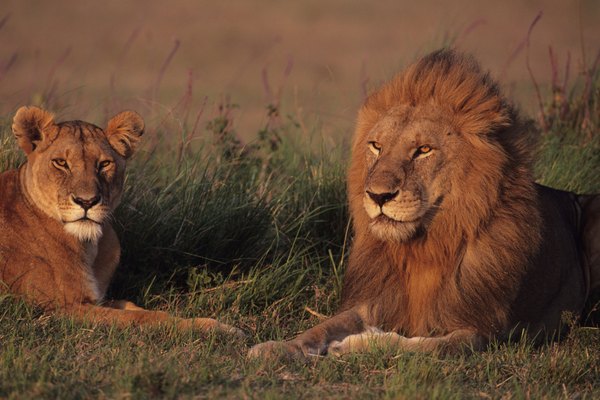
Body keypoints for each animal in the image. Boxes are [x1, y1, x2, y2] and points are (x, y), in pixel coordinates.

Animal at [1, 106, 244, 334]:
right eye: (61, 163)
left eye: (104, 164)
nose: (87, 201)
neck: (90, 246)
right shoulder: (57, 310)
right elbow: (144, 318)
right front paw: (218, 328)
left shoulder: (95, 299)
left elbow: (133, 306)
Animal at [250, 48, 600, 358]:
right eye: (376, 146)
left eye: (423, 150)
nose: (378, 195)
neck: (424, 247)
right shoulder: (371, 301)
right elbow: (319, 328)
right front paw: (277, 348)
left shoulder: (482, 331)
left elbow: (422, 345)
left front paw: (356, 344)